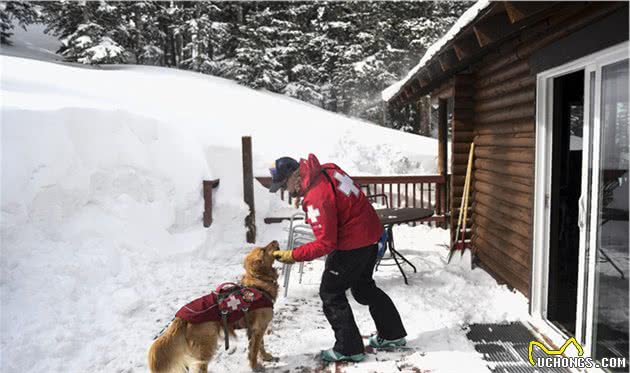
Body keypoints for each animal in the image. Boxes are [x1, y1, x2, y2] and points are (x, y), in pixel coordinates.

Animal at [148, 240, 278, 370]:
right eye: (263, 250)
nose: (275, 241)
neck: (259, 284)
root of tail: (181, 317)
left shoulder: (256, 329)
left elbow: (260, 345)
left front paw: (265, 356)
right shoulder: (259, 328)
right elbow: (254, 350)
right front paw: (255, 366)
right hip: (206, 346)